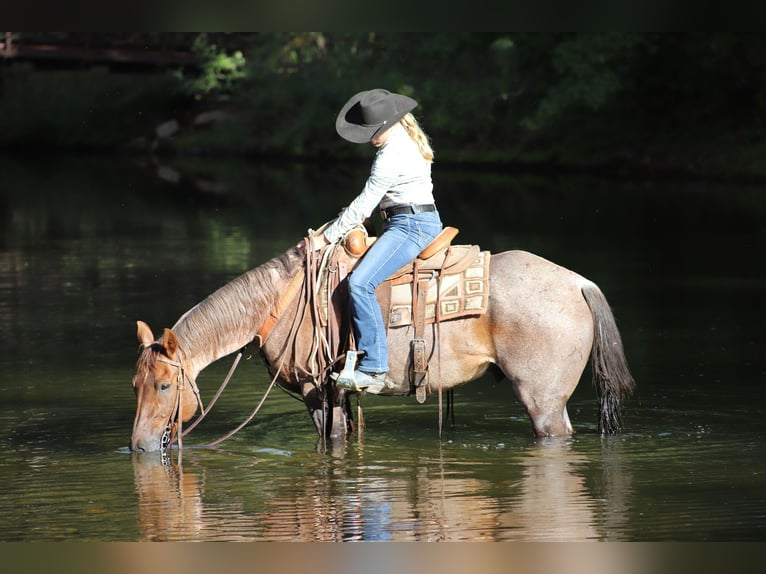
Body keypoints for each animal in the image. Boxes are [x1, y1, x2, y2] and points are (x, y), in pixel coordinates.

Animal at [132, 226, 636, 454]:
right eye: (135, 385)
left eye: (165, 385)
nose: (139, 445)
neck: (280, 303)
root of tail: (579, 283)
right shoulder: (335, 394)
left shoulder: (319, 391)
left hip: (544, 401)